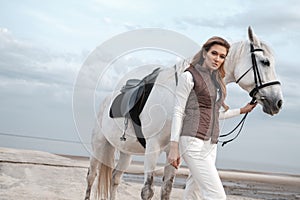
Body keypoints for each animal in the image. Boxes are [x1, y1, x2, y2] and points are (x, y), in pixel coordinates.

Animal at [84, 27, 284, 200]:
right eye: (265, 62)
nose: (278, 102)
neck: (174, 96)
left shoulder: (174, 152)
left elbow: (166, 190)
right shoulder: (153, 147)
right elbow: (147, 191)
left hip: (126, 152)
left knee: (115, 178)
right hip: (99, 146)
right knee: (91, 176)